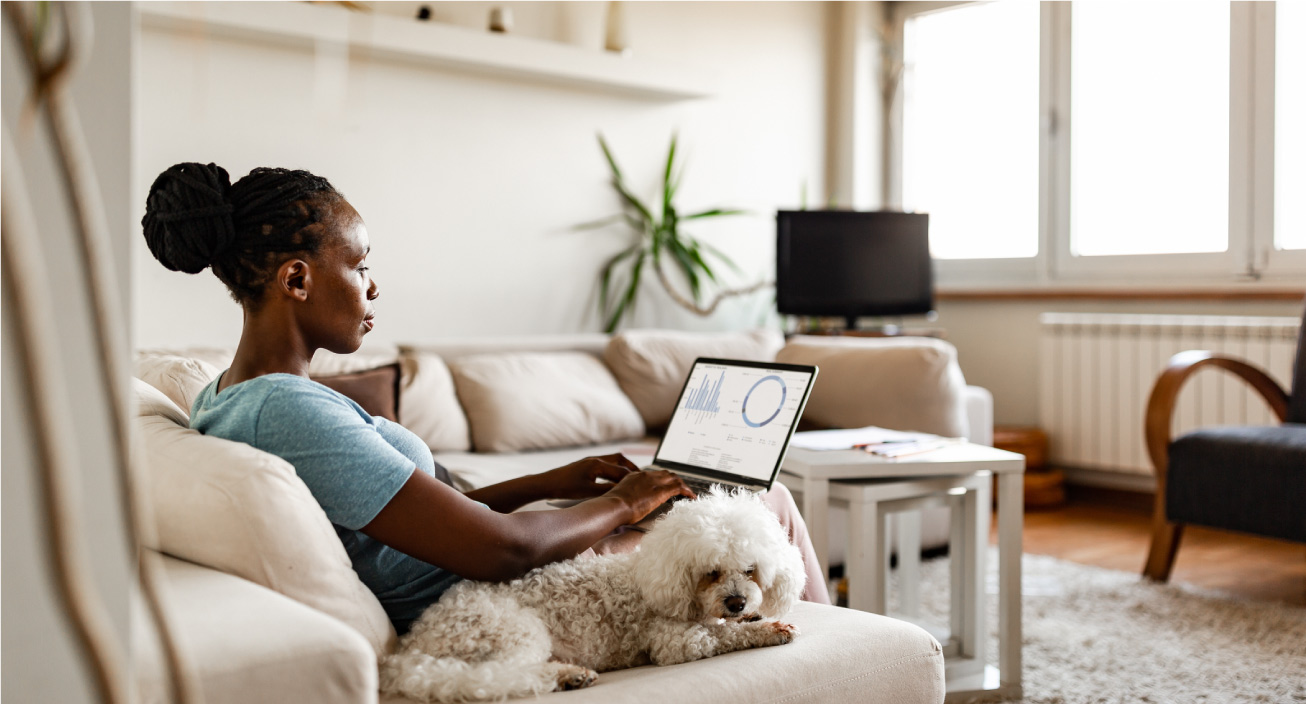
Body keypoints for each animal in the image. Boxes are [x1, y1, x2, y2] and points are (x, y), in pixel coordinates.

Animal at [378, 488, 804, 700]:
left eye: (750, 570)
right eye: (710, 573)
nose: (737, 602)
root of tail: (411, 647)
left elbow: (729, 625)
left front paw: (754, 616)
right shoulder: (674, 640)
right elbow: (724, 634)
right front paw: (767, 629)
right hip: (512, 630)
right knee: (497, 675)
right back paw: (569, 676)